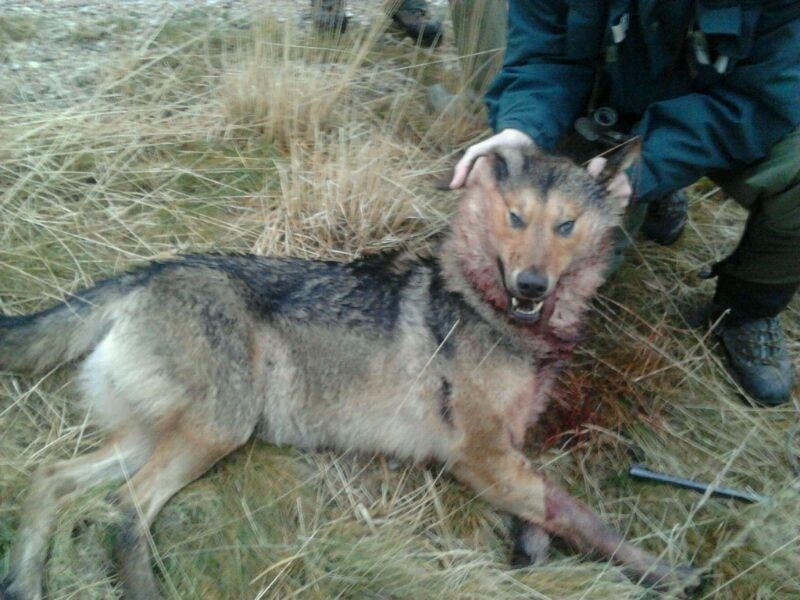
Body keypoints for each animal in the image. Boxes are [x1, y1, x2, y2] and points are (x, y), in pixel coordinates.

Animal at [0, 148, 695, 599]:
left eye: (566, 226)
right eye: (516, 218)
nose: (530, 284)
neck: (494, 312)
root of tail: (145, 273)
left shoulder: (509, 447)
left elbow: (548, 506)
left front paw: (530, 550)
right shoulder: (478, 454)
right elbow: (583, 515)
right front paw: (664, 572)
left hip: (156, 436)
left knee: (51, 481)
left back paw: (25, 581)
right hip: (218, 430)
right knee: (124, 511)